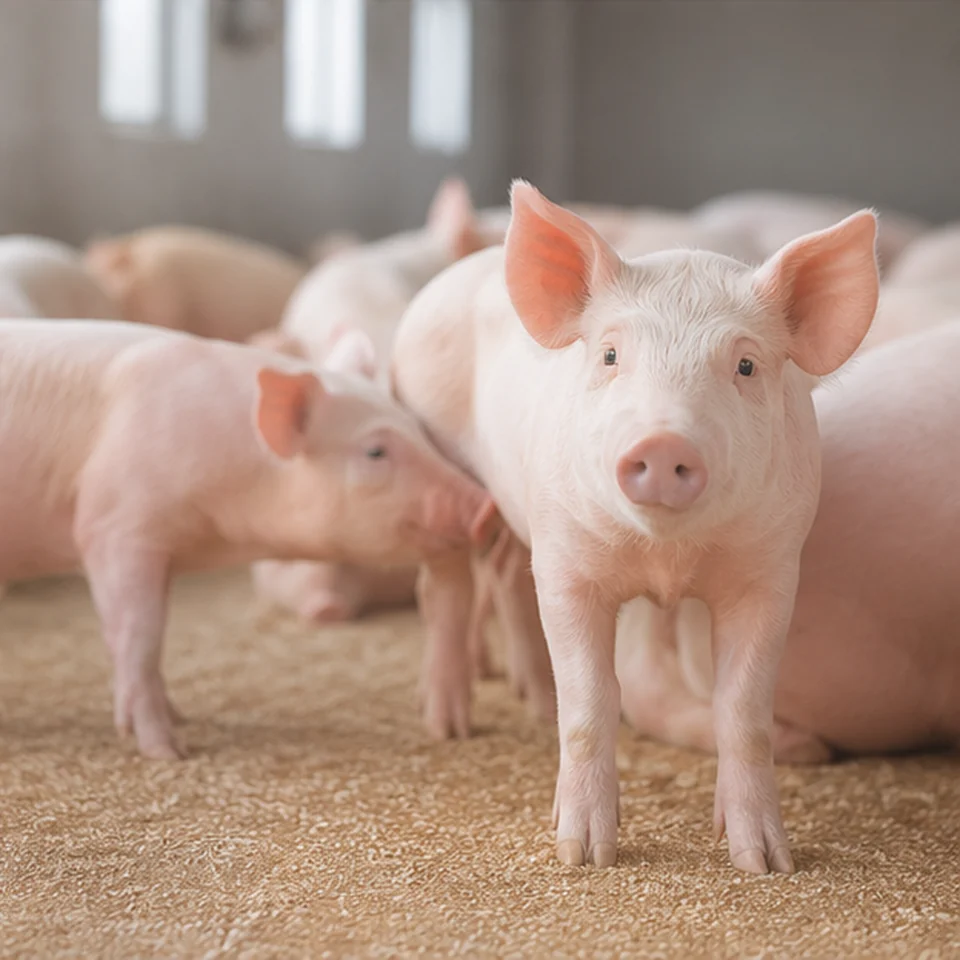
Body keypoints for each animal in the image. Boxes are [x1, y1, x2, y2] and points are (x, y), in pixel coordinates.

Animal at [0, 319, 495, 759]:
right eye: (375, 450)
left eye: (420, 431)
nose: (485, 506)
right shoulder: (114, 526)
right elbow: (141, 635)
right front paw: (168, 752)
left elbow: (135, 637)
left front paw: (173, 719)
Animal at [391, 181, 879, 873]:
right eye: (610, 354)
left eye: (746, 366)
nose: (662, 441)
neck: (665, 562)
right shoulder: (566, 564)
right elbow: (591, 700)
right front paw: (583, 854)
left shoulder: (771, 572)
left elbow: (743, 711)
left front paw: (764, 862)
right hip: (443, 458)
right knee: (445, 589)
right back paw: (448, 724)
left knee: (507, 573)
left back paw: (532, 700)